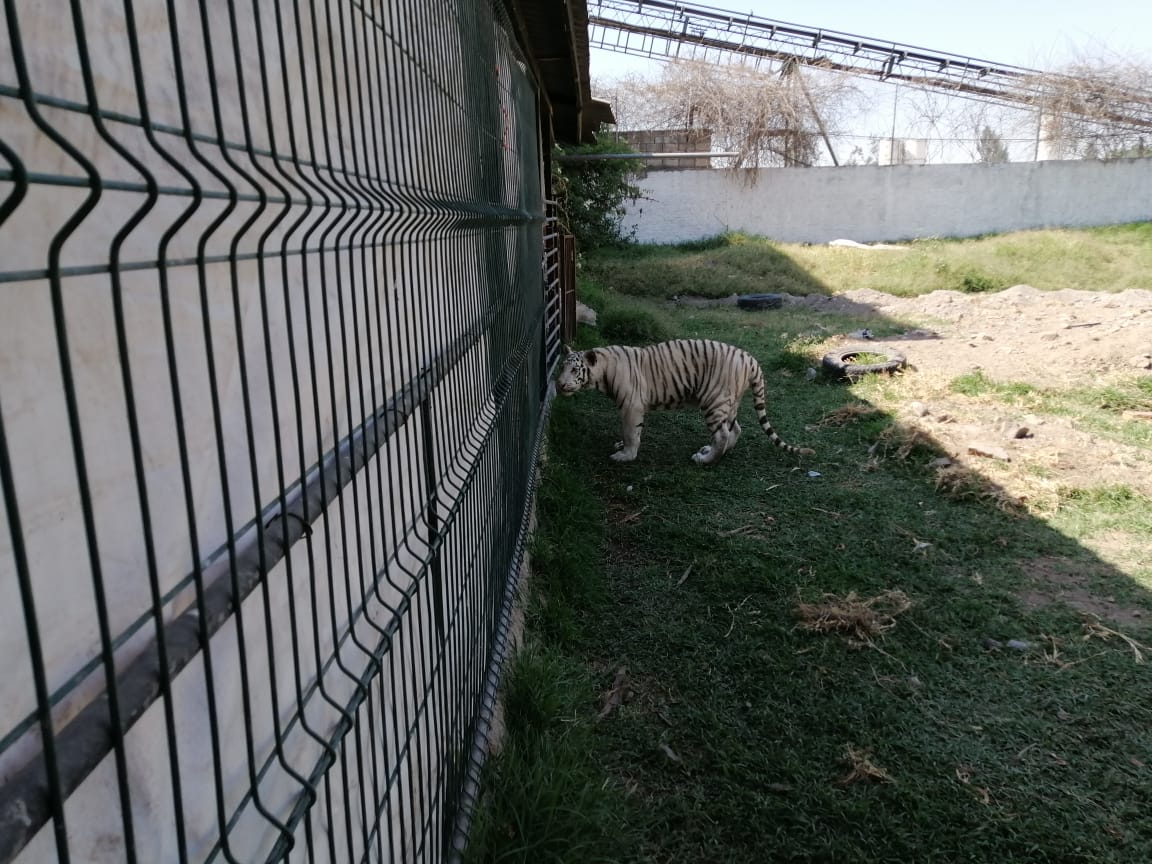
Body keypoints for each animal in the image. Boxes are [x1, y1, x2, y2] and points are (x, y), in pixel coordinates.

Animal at [555, 338, 815, 465]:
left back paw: (705, 460)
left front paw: (625, 456)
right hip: (730, 402)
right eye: (562, 367)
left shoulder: (631, 405)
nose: (559, 384)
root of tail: (750, 359)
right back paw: (716, 452)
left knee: (723, 433)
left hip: (713, 401)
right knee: (735, 430)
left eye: (575, 370)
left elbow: (631, 433)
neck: (604, 370)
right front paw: (621, 446)